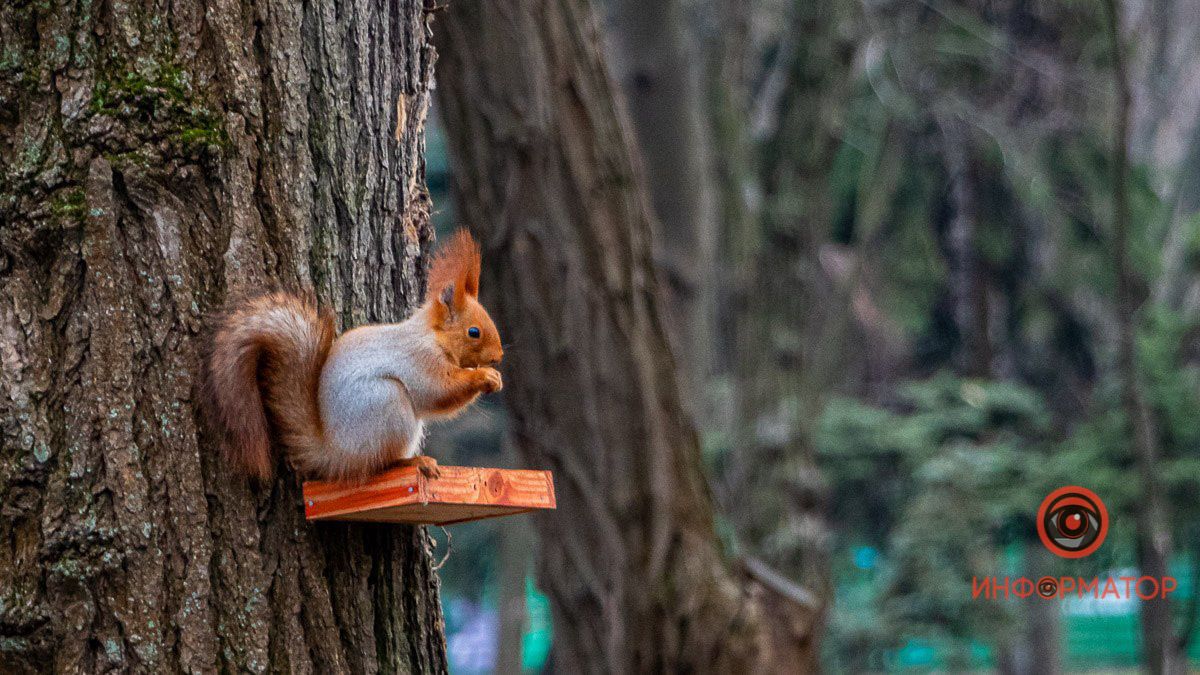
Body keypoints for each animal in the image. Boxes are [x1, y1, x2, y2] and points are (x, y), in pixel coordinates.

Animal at [204, 228, 504, 480]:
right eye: (474, 332)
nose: (498, 357)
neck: (433, 336)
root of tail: (335, 453)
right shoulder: (420, 358)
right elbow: (439, 391)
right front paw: (485, 377)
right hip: (387, 404)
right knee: (379, 463)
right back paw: (413, 462)